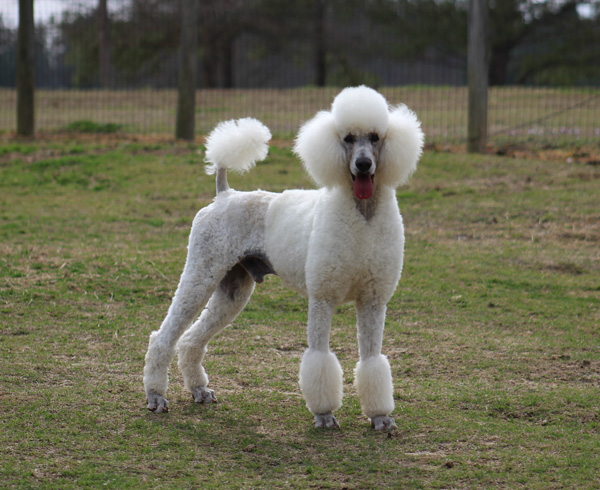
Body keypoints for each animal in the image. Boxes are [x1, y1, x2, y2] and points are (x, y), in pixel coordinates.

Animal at [143, 86, 424, 430]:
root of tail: (224, 194)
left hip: (233, 290)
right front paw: (324, 414)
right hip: (201, 273)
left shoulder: (373, 301)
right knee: (163, 336)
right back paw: (156, 396)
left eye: (375, 137)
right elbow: (319, 358)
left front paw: (381, 417)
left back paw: (199, 389)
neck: (363, 216)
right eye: (347, 138)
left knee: (191, 340)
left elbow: (372, 360)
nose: (363, 165)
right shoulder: (322, 298)